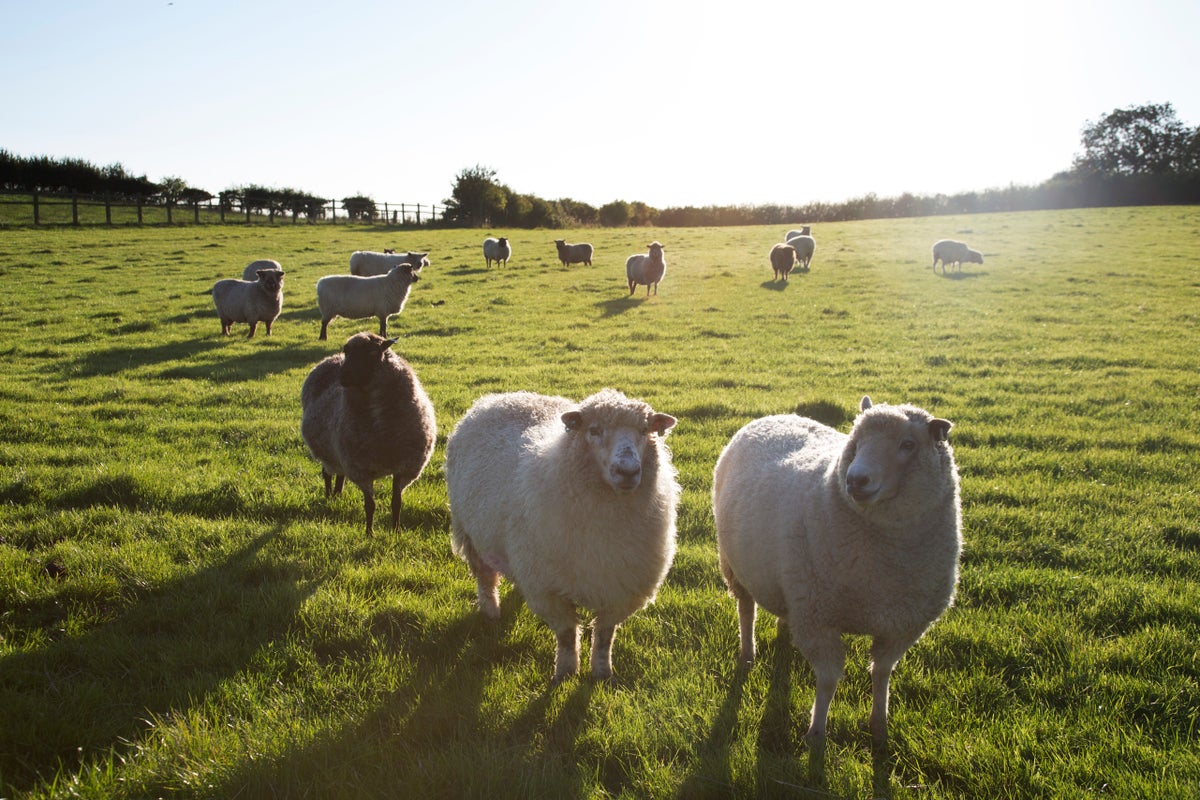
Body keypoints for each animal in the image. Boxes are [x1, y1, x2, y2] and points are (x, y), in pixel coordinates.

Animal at [300, 331, 436, 537]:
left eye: (372, 352)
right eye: (347, 351)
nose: (343, 377)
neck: (382, 429)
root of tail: (330, 358)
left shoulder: (404, 466)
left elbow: (396, 502)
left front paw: (395, 531)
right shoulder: (361, 468)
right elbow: (370, 505)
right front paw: (369, 534)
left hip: (341, 454)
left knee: (340, 475)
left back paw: (338, 494)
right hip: (329, 451)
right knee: (327, 473)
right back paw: (329, 496)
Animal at [446, 388, 681, 681]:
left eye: (644, 430)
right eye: (593, 430)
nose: (627, 471)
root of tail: (497, 397)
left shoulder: (621, 587)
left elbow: (605, 636)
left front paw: (602, 673)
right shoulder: (549, 588)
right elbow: (568, 634)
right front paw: (566, 673)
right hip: (471, 534)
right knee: (486, 578)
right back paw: (491, 612)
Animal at [715, 398, 960, 748]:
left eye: (908, 445)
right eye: (856, 440)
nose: (856, 480)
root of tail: (775, 415)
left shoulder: (903, 625)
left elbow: (882, 673)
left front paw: (879, 725)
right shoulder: (818, 620)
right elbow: (829, 680)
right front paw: (816, 733)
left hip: (791, 585)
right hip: (736, 566)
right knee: (746, 609)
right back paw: (748, 653)